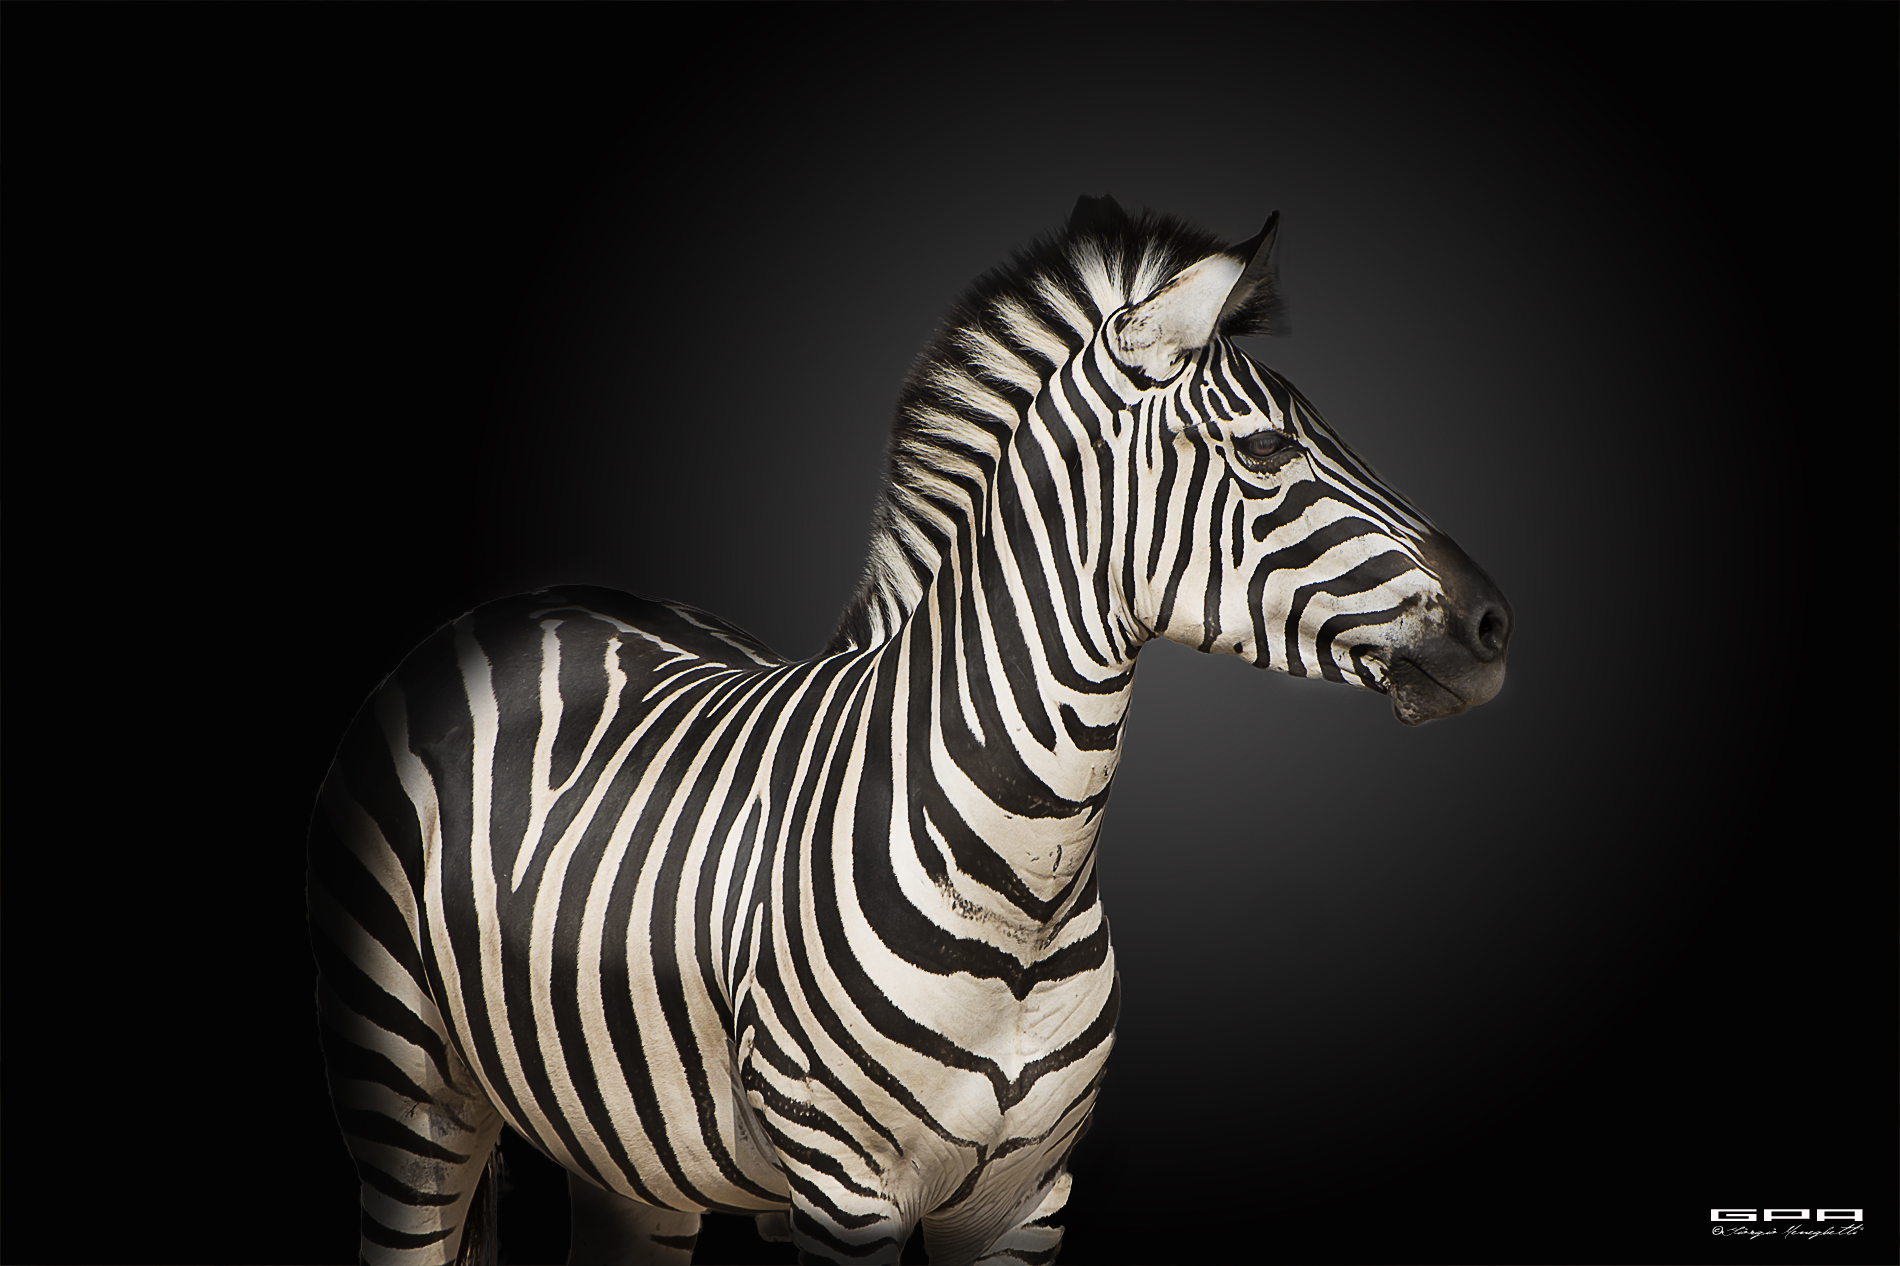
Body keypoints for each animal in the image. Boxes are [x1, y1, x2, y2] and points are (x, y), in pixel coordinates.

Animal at [307, 195, 1512, 1266]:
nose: (1496, 625)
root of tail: (510, 609)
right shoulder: (843, 1192)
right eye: (1264, 452)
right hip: (404, 1091)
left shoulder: (1025, 1204)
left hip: (625, 1154)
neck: (1025, 890)